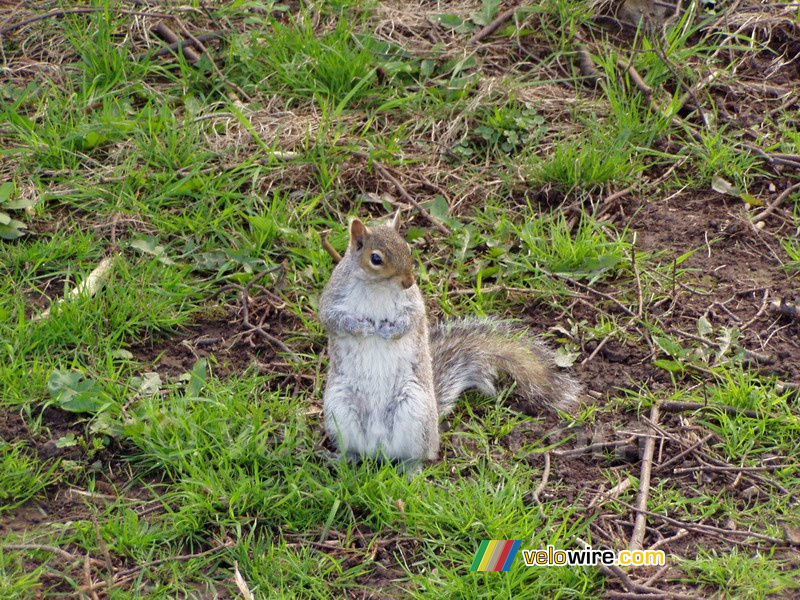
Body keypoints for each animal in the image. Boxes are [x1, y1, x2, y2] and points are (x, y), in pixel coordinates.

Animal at [320, 213, 580, 466]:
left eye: (408, 248)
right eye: (376, 258)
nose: (408, 282)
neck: (377, 287)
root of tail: (379, 449)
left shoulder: (414, 302)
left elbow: (414, 318)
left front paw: (392, 331)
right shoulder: (333, 296)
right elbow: (331, 318)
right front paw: (360, 327)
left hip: (415, 411)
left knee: (419, 456)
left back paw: (409, 469)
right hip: (340, 409)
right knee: (354, 451)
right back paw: (341, 459)